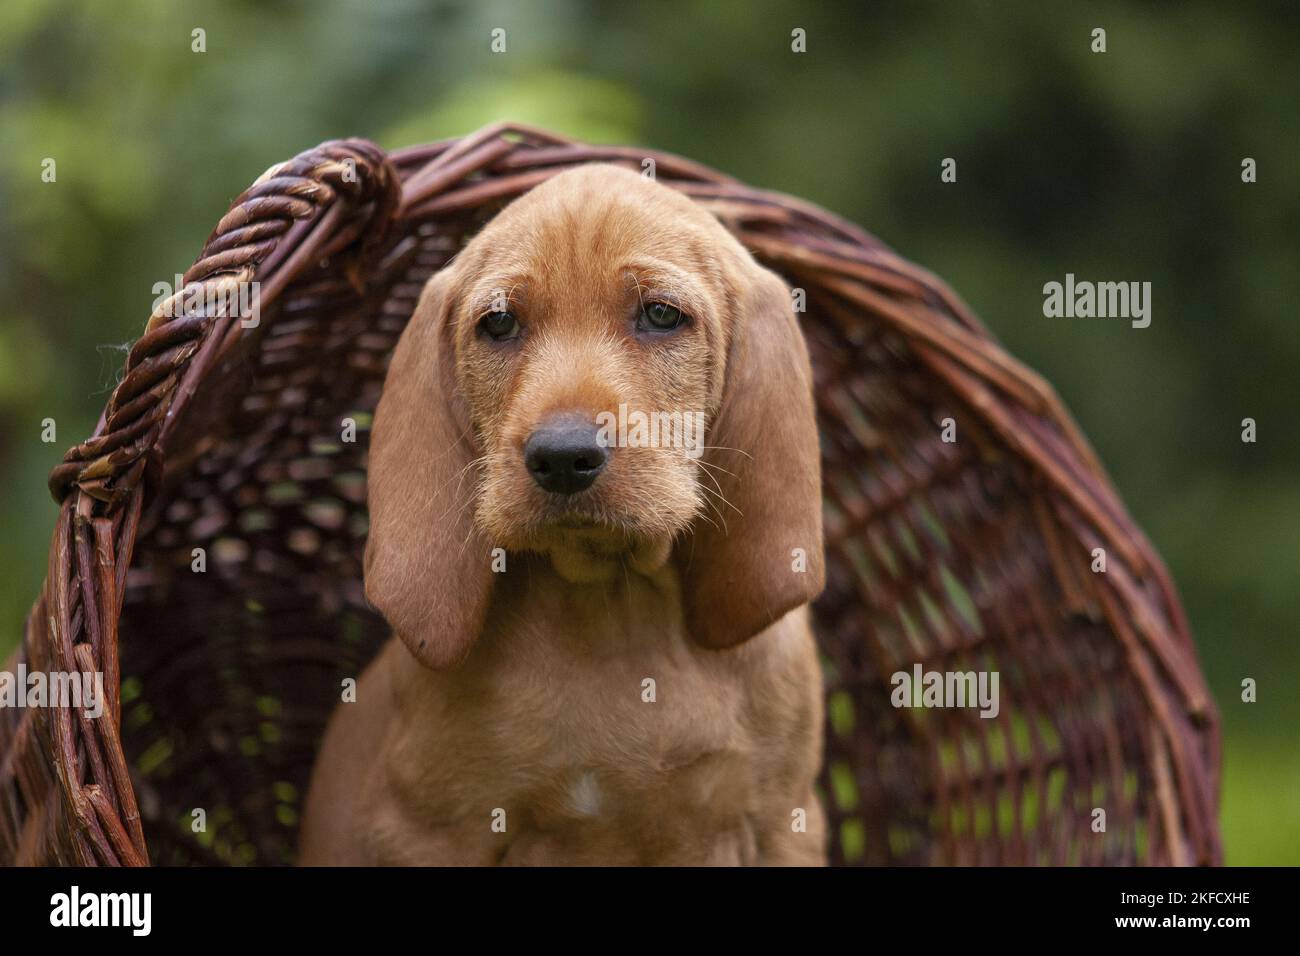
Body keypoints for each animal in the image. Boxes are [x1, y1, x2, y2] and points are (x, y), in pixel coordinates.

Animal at [297, 164, 821, 868]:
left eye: (661, 315)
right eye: (498, 325)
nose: (563, 458)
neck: (616, 603)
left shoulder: (784, 823)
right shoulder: (432, 831)